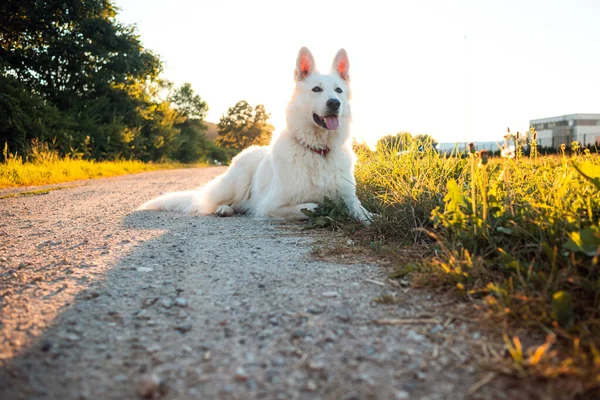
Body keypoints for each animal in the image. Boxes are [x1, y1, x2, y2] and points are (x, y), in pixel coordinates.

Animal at [139, 47, 370, 223]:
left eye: (338, 91)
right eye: (316, 89)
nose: (334, 103)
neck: (318, 150)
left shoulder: (350, 198)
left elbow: (362, 212)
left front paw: (369, 219)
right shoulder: (271, 205)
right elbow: (309, 207)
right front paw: (320, 208)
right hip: (238, 180)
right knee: (212, 202)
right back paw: (224, 209)